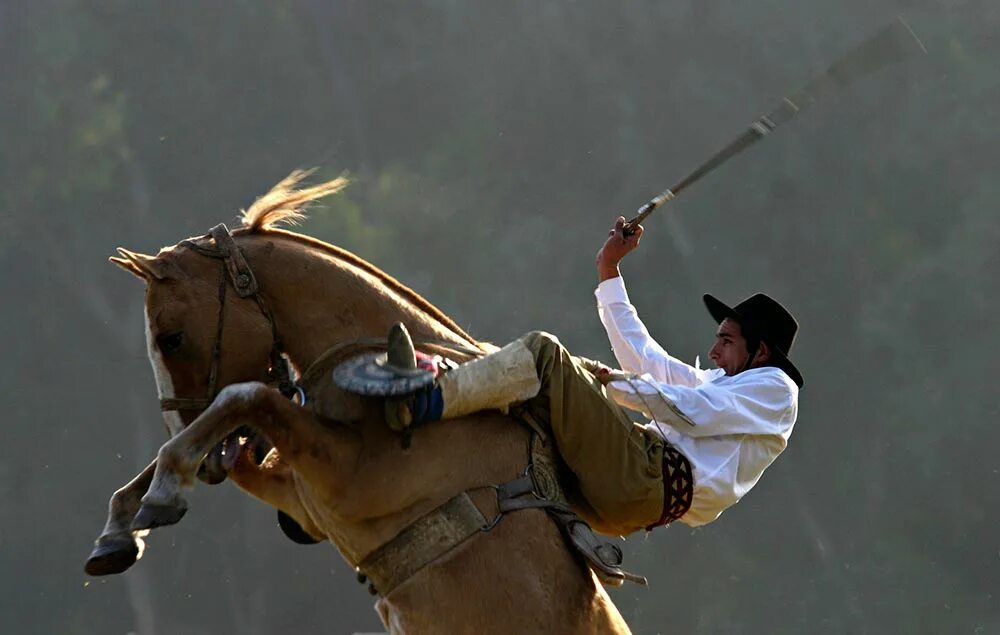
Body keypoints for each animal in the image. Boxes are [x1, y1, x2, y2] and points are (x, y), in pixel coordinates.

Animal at [86, 173, 632, 635]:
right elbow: (245, 422)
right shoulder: (305, 501)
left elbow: (244, 396)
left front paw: (161, 494)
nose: (202, 463)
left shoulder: (353, 480)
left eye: (172, 338)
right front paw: (118, 529)